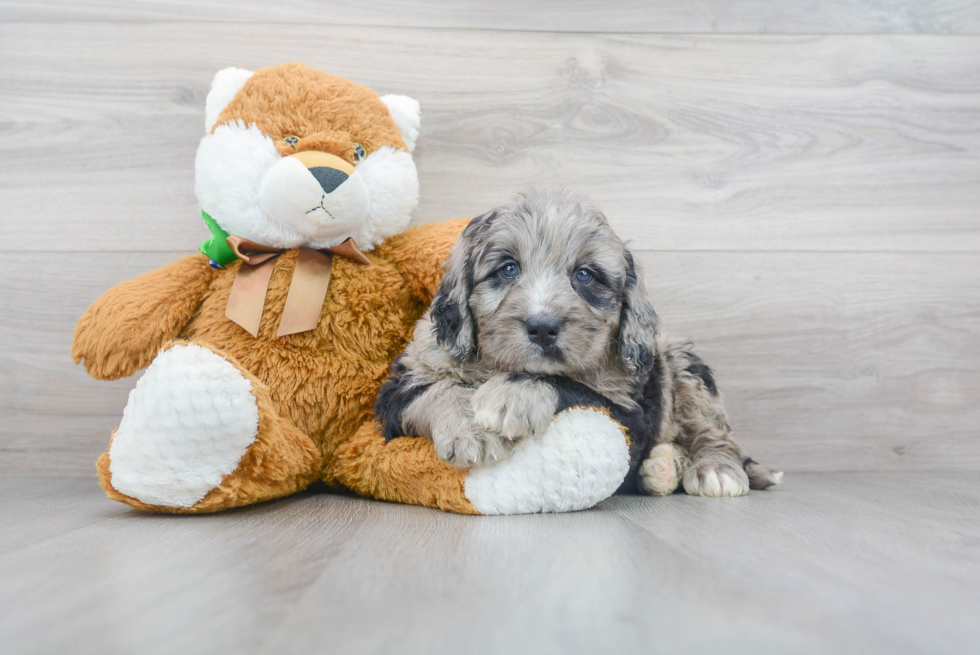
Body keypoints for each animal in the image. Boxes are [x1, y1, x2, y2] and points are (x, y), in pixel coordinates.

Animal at [376, 190, 780, 498]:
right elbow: (437, 390)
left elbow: (567, 382)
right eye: (507, 269)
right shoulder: (399, 387)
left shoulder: (626, 411)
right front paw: (472, 429)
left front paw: (512, 396)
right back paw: (662, 468)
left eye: (585, 275)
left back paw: (715, 469)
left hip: (684, 366)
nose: (542, 328)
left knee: (714, 432)